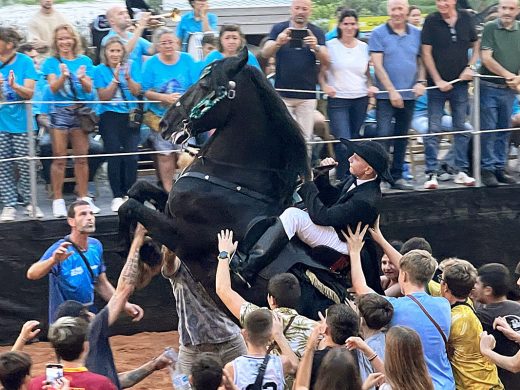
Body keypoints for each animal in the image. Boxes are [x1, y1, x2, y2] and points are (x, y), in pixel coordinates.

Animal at [119, 47, 348, 318]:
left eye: (204, 84)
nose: (165, 123)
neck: (236, 183)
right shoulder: (168, 207)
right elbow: (137, 190)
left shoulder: (180, 234)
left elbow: (130, 207)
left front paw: (129, 248)